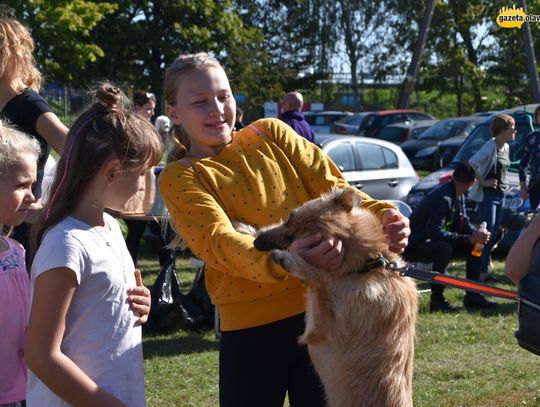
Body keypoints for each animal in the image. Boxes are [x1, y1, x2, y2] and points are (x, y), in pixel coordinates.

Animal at [253, 189, 418, 407]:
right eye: (290, 217)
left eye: (295, 240)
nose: (256, 242)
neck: (365, 267)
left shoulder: (316, 330)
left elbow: (317, 279)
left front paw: (289, 260)